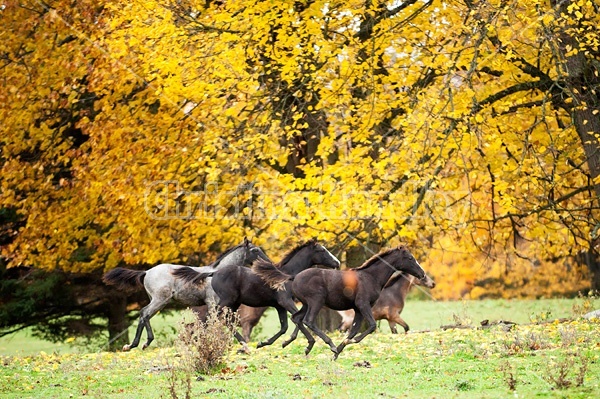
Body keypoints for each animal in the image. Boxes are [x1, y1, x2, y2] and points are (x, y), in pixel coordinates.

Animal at [102, 239, 270, 352]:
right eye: (255, 250)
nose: (268, 263)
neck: (216, 273)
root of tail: (147, 272)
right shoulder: (212, 304)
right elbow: (211, 324)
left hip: (158, 301)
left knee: (146, 315)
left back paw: (141, 344)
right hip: (160, 300)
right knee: (144, 313)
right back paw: (135, 344)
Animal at [173, 239, 342, 352]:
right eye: (322, 250)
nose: (337, 263)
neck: (286, 275)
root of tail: (214, 272)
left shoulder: (279, 306)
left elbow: (285, 326)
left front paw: (267, 343)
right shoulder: (286, 301)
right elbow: (297, 320)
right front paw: (311, 343)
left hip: (233, 304)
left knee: (225, 322)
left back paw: (243, 346)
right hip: (226, 301)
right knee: (210, 318)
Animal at [254, 244, 436, 360]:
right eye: (410, 258)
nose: (422, 274)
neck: (371, 277)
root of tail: (294, 276)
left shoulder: (358, 309)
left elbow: (354, 330)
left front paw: (338, 352)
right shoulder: (363, 305)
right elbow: (371, 327)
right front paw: (342, 346)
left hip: (306, 304)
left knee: (297, 318)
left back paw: (303, 346)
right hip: (316, 302)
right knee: (308, 321)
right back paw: (329, 344)